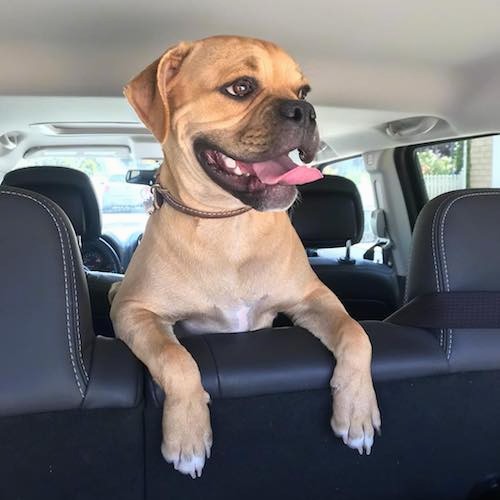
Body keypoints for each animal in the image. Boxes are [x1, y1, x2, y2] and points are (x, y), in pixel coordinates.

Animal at [111, 33, 380, 478]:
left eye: (303, 92)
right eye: (240, 87)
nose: (306, 112)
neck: (228, 224)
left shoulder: (315, 298)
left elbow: (357, 335)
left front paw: (357, 411)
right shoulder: (133, 310)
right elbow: (176, 359)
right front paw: (187, 435)